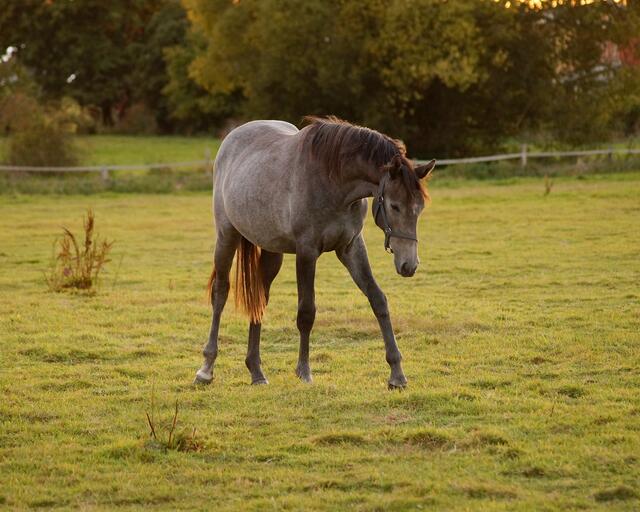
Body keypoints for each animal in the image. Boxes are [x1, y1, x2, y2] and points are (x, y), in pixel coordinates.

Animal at [194, 116, 435, 389]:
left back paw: (256, 371)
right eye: (394, 206)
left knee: (260, 298)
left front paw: (397, 373)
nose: (409, 265)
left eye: (420, 207)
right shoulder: (307, 252)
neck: (334, 181)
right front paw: (304, 371)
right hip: (227, 237)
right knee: (220, 293)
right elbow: (306, 312)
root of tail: (233, 136)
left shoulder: (351, 247)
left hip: (271, 251)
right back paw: (206, 368)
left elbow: (378, 300)